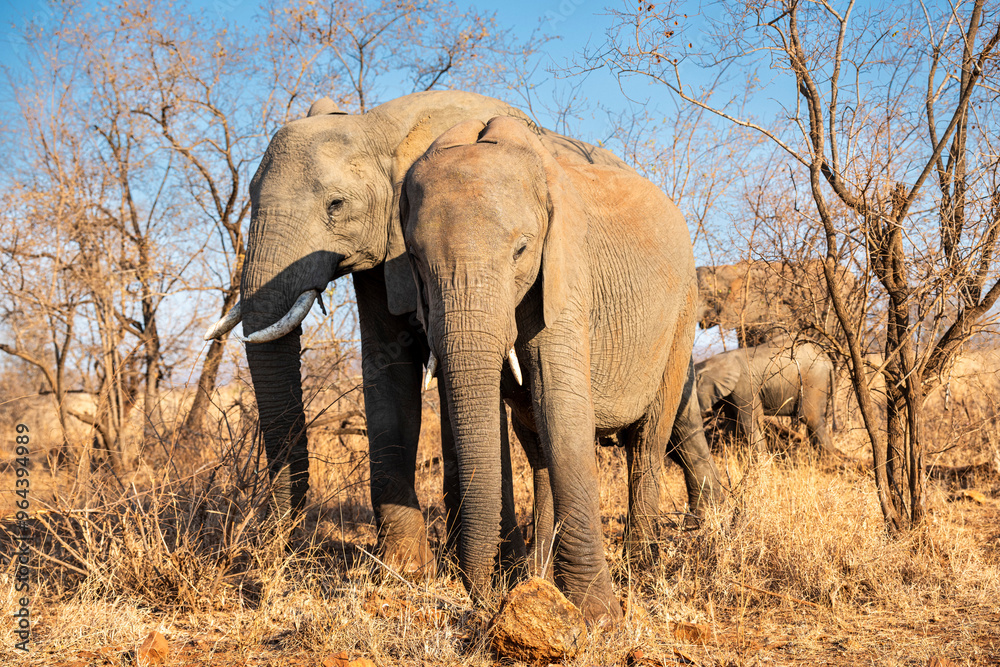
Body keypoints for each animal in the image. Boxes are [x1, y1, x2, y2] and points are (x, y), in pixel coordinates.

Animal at [400, 116, 724, 622]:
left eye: (521, 250)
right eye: (413, 257)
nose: (482, 596)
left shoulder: (567, 274)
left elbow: (561, 404)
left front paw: (600, 617)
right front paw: (539, 593)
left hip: (680, 317)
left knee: (648, 441)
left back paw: (641, 570)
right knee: (538, 448)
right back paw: (539, 576)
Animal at [694, 340, 838, 456]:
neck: (711, 362)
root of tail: (827, 358)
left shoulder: (744, 387)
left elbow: (751, 421)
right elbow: (732, 423)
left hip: (813, 380)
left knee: (811, 419)